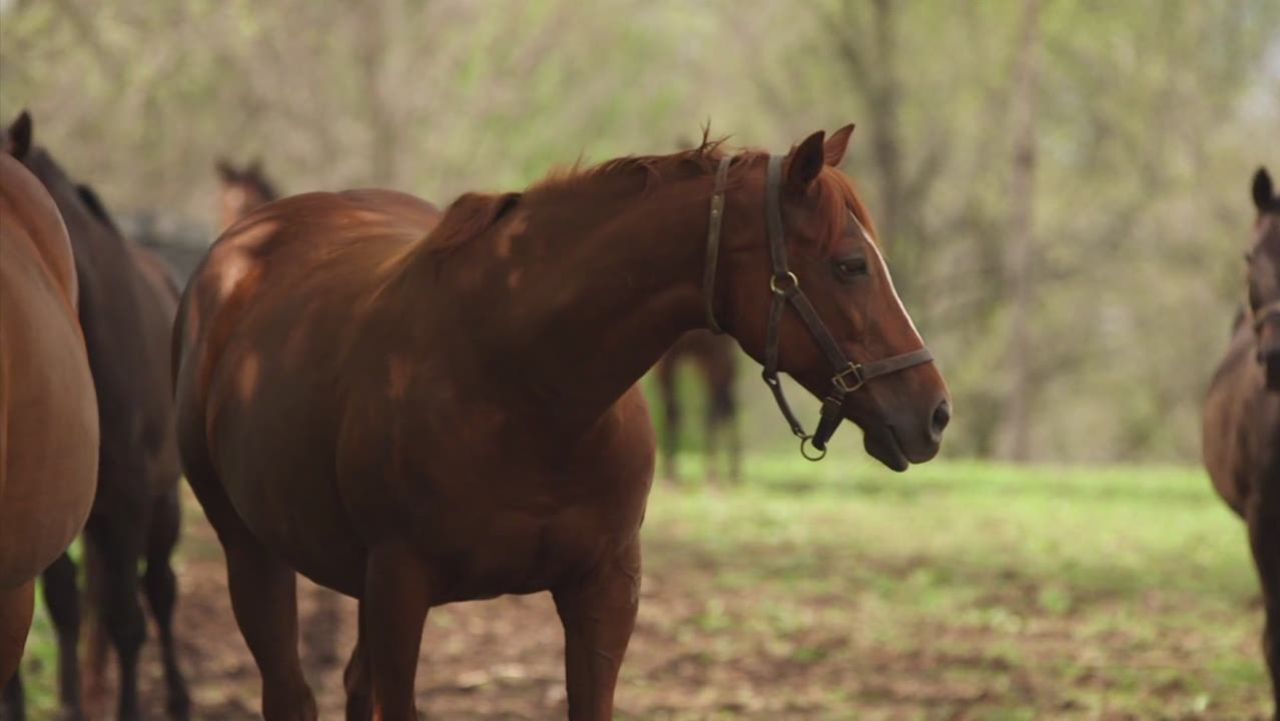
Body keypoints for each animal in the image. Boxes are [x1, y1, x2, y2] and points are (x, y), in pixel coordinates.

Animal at [1, 111, 189, 721]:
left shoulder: (128, 499)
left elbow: (130, 621)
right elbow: (68, 605)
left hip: (161, 502)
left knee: (159, 590)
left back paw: (178, 697)